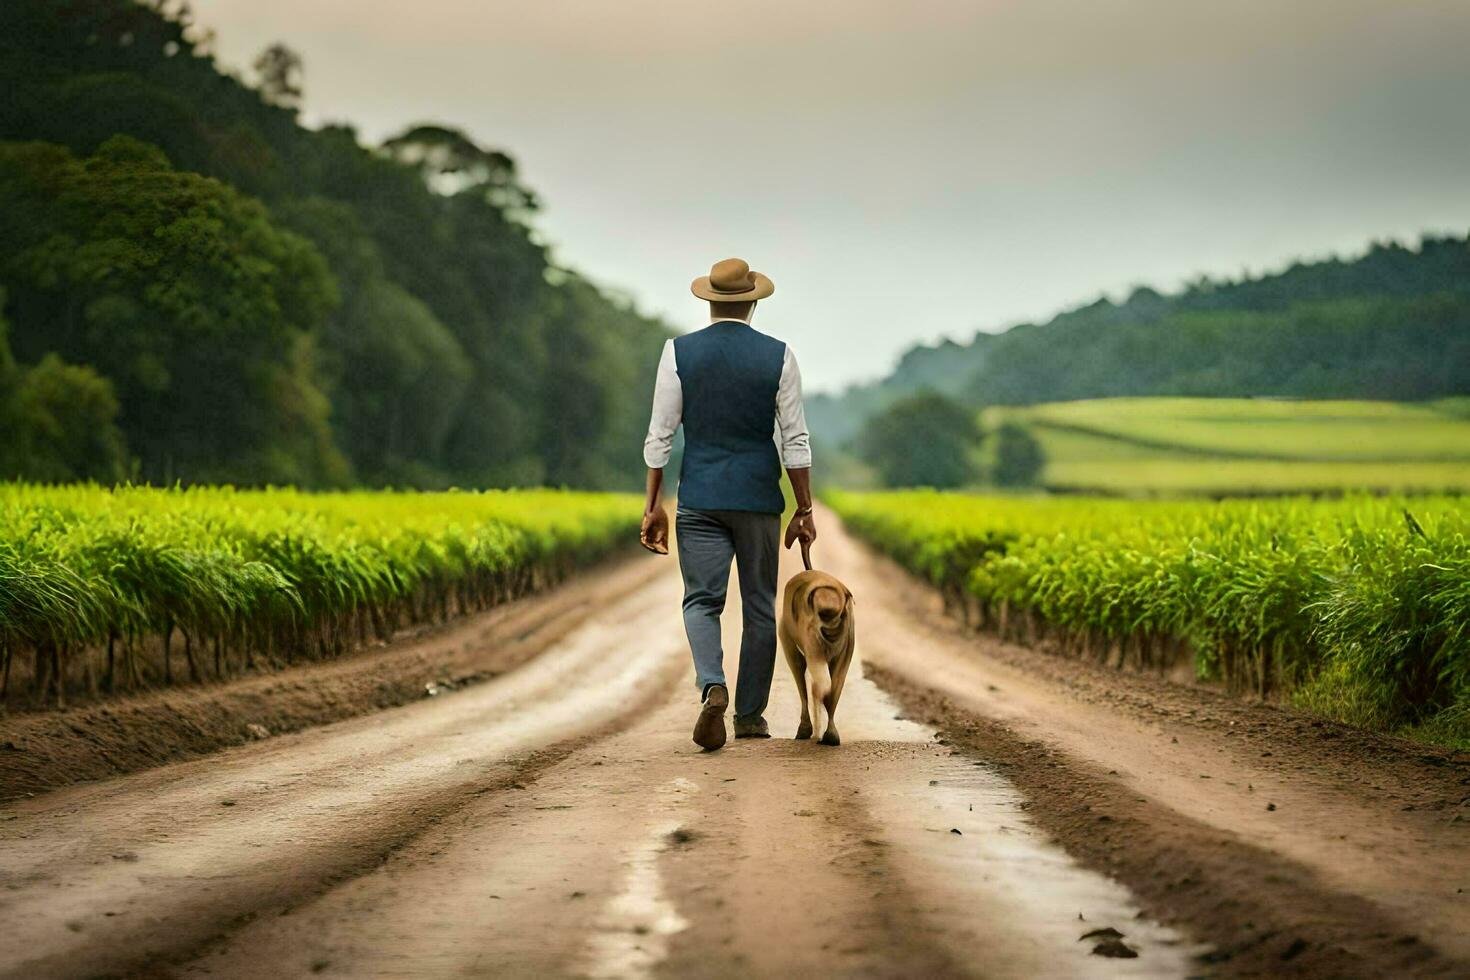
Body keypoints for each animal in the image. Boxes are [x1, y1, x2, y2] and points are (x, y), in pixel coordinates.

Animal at [782, 567, 852, 743]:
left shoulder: (788, 642)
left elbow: (801, 682)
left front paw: (805, 730)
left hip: (814, 648)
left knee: (820, 686)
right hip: (843, 655)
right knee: (832, 689)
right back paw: (830, 735)